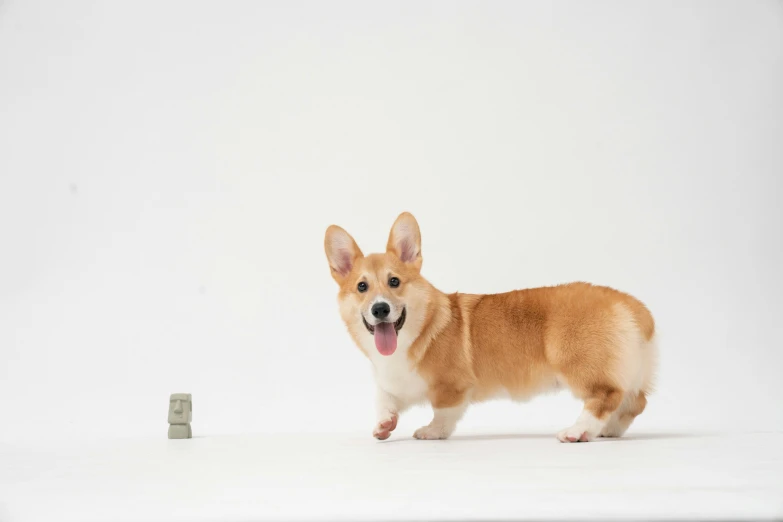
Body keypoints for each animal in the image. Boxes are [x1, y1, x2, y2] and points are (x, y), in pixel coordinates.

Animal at [322, 213, 660, 440]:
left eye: (394, 282)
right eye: (362, 287)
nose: (380, 309)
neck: (414, 332)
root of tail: (631, 305)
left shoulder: (453, 387)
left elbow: (443, 413)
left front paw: (431, 431)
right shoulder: (394, 382)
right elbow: (384, 399)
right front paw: (384, 424)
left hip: (578, 364)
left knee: (607, 396)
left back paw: (578, 431)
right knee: (636, 401)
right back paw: (609, 429)